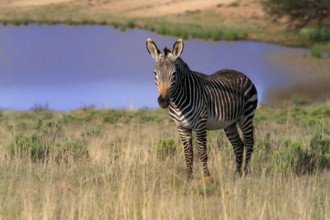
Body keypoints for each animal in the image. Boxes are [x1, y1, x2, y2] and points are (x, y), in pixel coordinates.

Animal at [146, 38, 258, 181]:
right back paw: (236, 175)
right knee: (238, 145)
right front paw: (189, 178)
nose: (163, 101)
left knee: (249, 142)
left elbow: (202, 152)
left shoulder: (200, 125)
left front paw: (207, 177)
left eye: (174, 74)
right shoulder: (181, 127)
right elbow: (188, 154)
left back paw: (246, 173)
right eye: (155, 73)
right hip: (230, 123)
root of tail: (242, 74)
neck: (178, 103)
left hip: (246, 117)